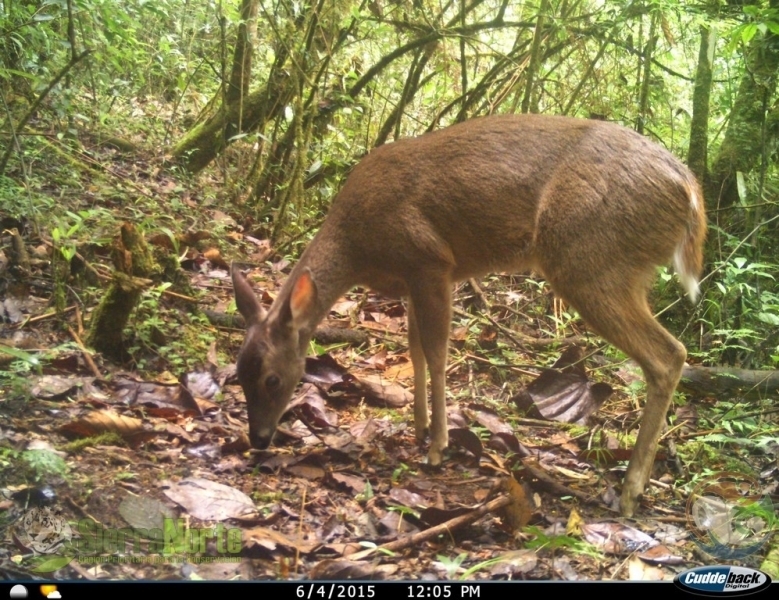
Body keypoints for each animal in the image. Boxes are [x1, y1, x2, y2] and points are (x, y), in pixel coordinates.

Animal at [232, 113, 708, 516]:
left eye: (272, 379)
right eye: (238, 373)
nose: (258, 439)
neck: (358, 245)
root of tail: (690, 190)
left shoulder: (430, 260)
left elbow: (438, 352)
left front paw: (438, 446)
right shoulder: (410, 280)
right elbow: (415, 350)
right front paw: (419, 428)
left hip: (590, 259)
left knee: (669, 354)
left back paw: (630, 491)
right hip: (621, 269)